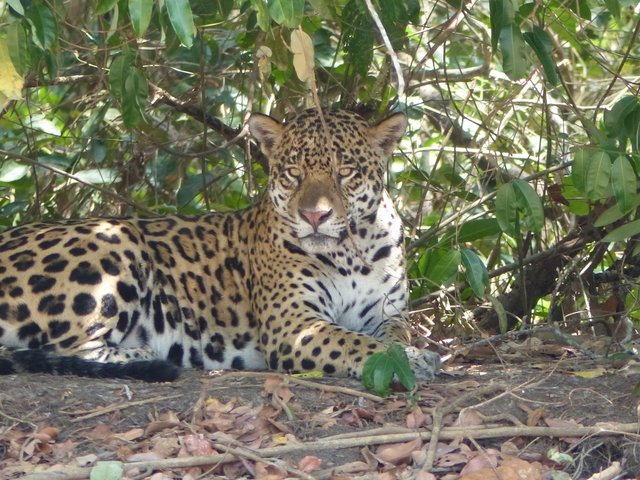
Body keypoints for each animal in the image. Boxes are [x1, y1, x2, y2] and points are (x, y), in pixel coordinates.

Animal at [0, 108, 440, 383]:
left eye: (345, 171)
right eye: (293, 172)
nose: (314, 216)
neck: (351, 251)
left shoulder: (387, 313)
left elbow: (392, 337)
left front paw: (413, 353)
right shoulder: (293, 323)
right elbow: (353, 341)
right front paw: (415, 360)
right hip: (115, 240)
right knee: (71, 347)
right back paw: (146, 355)